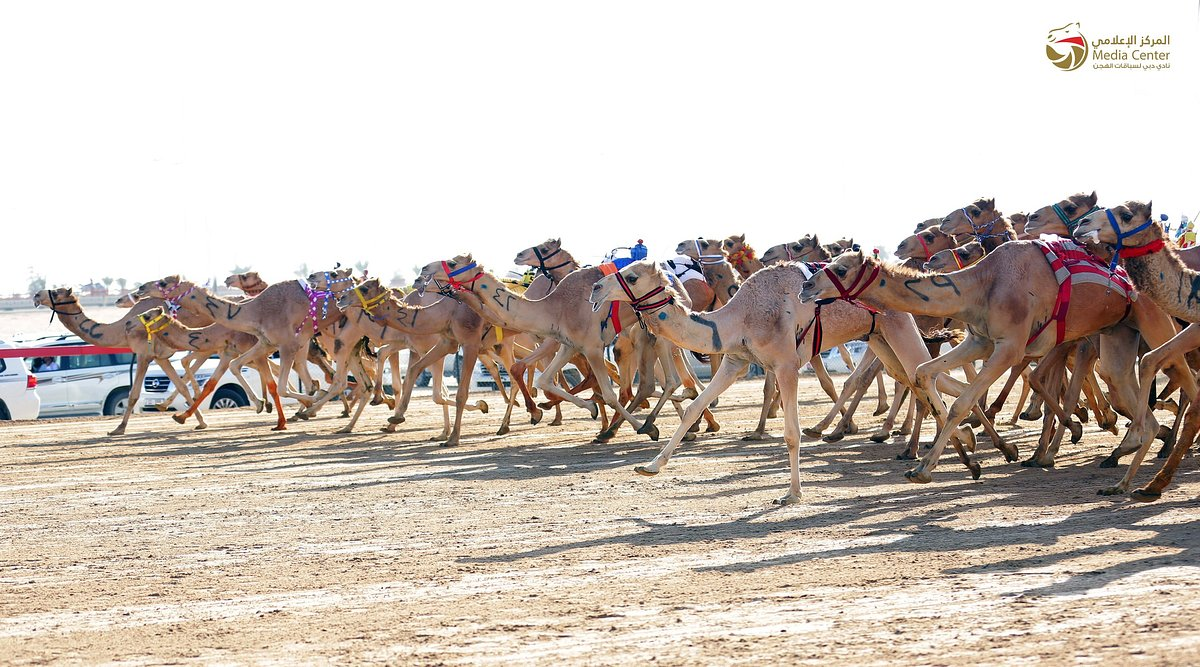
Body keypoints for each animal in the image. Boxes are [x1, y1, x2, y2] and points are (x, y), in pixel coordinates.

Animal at [32, 288, 205, 435]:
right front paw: (199, 422)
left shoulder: (143, 354)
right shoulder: (160, 357)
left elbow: (133, 394)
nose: (36, 295)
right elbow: (182, 386)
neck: (123, 329)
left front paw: (119, 428)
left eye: (56, 293)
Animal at [588, 260, 974, 503]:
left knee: (925, 375)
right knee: (924, 379)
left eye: (632, 276)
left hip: (898, 327)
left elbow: (791, 433)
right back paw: (970, 445)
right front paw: (650, 466)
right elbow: (695, 406)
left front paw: (792, 494)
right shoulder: (736, 361)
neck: (738, 317)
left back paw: (953, 455)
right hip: (879, 338)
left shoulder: (786, 364)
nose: (594, 287)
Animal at [797, 245, 1196, 495]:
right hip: (1117, 334)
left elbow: (962, 402)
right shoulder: (980, 341)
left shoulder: (1009, 347)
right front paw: (958, 459)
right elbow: (924, 372)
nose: (805, 286)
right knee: (1131, 392)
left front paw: (924, 469)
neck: (983, 285)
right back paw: (1125, 478)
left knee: (1181, 375)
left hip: (1155, 321)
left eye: (840, 268)